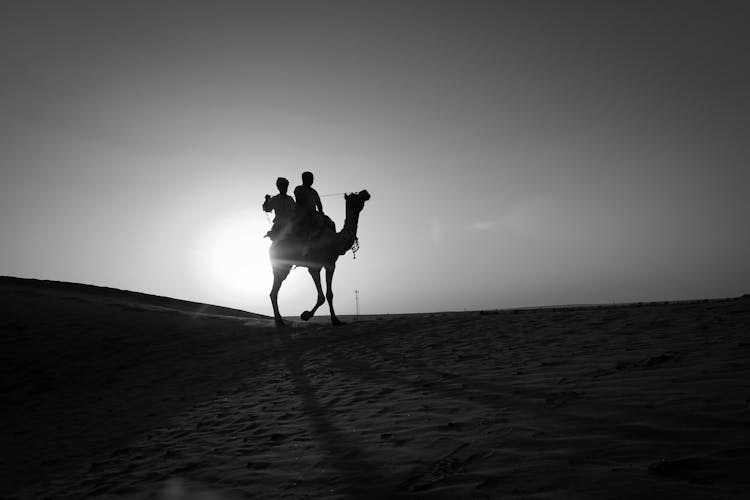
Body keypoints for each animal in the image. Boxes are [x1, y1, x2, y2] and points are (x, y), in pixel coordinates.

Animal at [272, 189, 372, 326]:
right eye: (355, 196)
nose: (365, 192)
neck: (335, 241)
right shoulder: (314, 267)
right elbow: (321, 297)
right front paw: (305, 315)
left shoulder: (330, 264)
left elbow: (329, 294)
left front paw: (336, 320)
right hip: (281, 265)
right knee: (274, 291)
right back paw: (279, 321)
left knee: (274, 291)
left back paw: (280, 320)